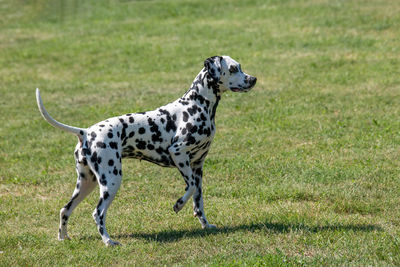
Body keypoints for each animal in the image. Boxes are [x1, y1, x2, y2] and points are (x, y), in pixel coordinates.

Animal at [36, 55, 258, 247]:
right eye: (233, 69)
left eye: (239, 67)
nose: (253, 79)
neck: (196, 105)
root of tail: (85, 132)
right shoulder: (179, 154)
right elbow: (191, 188)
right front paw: (178, 204)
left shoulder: (197, 166)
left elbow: (198, 201)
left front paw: (205, 224)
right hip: (111, 181)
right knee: (97, 213)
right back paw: (108, 241)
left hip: (86, 183)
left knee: (65, 210)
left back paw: (63, 238)